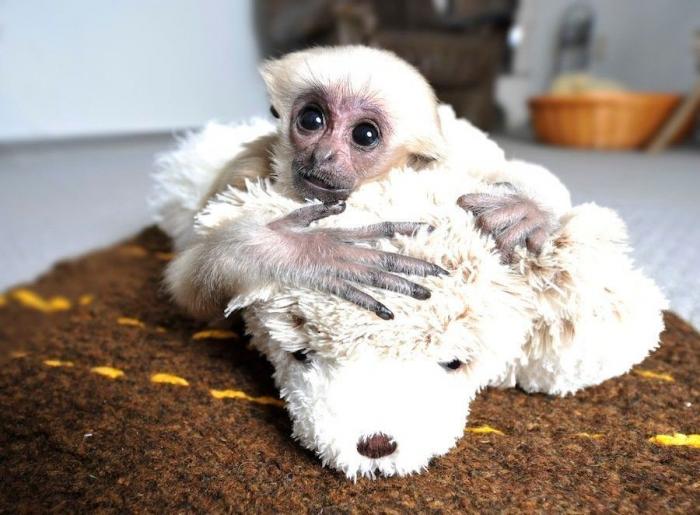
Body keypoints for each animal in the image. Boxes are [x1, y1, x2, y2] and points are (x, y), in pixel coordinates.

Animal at [155, 46, 567, 321]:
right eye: (311, 119)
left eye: (364, 135)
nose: (323, 155)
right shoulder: (243, 172)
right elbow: (189, 279)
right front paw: (311, 251)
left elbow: (502, 168)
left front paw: (526, 211)